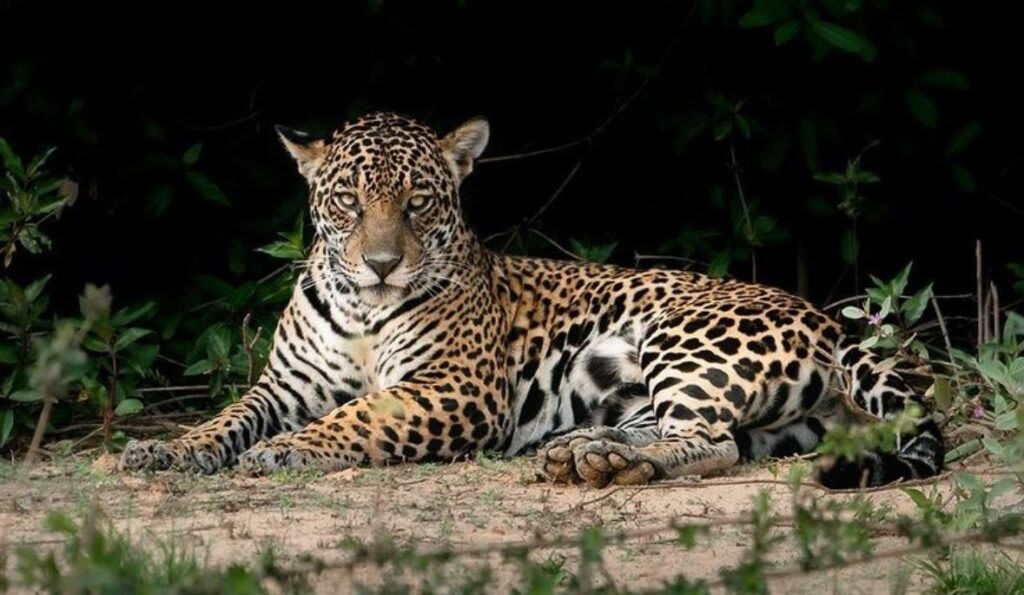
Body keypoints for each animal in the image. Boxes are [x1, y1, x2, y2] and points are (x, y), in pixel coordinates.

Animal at [119, 111, 944, 489]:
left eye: (418, 202)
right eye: (348, 201)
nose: (382, 265)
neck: (361, 314)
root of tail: (827, 319)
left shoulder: (453, 387)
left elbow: (359, 415)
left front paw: (287, 448)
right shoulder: (284, 385)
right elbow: (225, 417)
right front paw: (166, 447)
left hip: (685, 335)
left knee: (712, 441)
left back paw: (617, 464)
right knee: (693, 431)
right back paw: (585, 450)